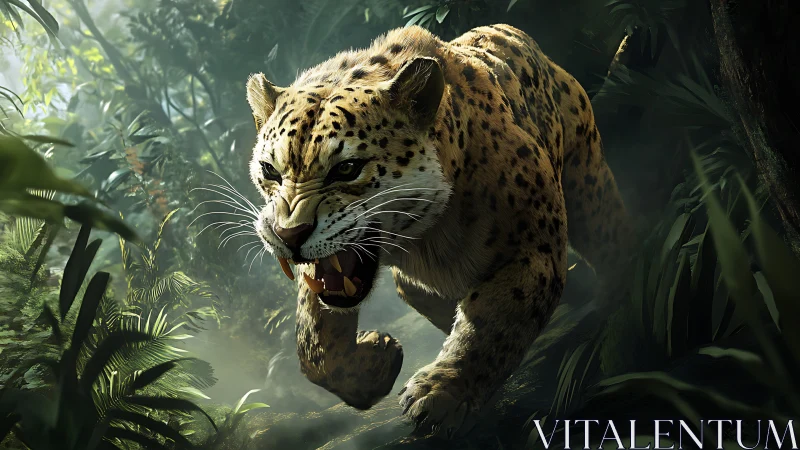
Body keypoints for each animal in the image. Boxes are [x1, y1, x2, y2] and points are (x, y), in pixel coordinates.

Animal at [245, 23, 631, 438]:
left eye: (346, 169)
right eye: (270, 171)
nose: (288, 235)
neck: (424, 238)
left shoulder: (534, 252)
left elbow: (491, 321)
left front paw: (440, 394)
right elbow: (313, 345)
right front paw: (377, 362)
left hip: (586, 179)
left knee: (611, 235)